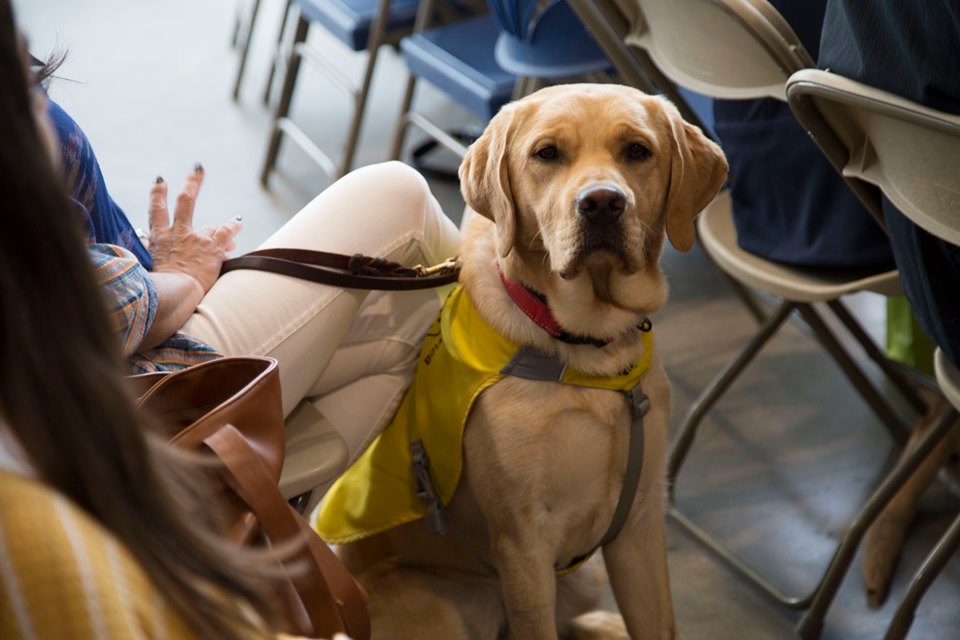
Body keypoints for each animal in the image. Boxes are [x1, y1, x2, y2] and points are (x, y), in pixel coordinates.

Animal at [316, 85, 728, 640]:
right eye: (547, 153)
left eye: (637, 151)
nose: (602, 203)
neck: (585, 349)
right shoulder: (523, 542)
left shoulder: (640, 523)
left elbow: (658, 625)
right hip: (445, 607)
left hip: (587, 577)